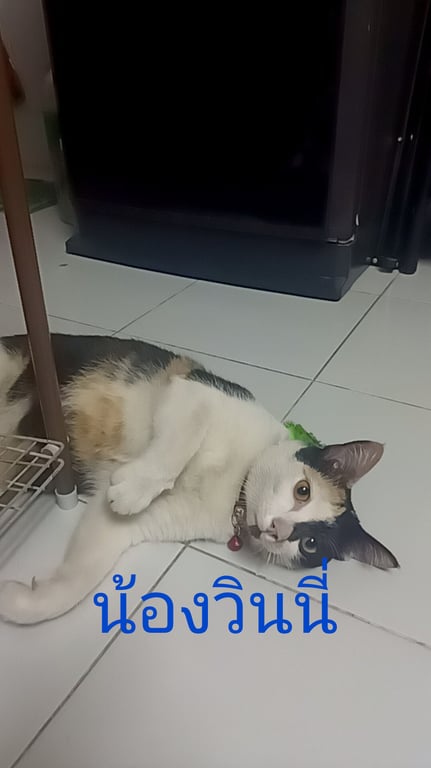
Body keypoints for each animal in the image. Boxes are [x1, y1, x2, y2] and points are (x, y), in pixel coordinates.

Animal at [0, 334, 398, 625]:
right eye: (303, 490)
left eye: (310, 544)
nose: (278, 530)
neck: (235, 488)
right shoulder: (193, 392)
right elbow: (184, 440)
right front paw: (134, 488)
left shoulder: (130, 525)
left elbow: (79, 580)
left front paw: (20, 601)